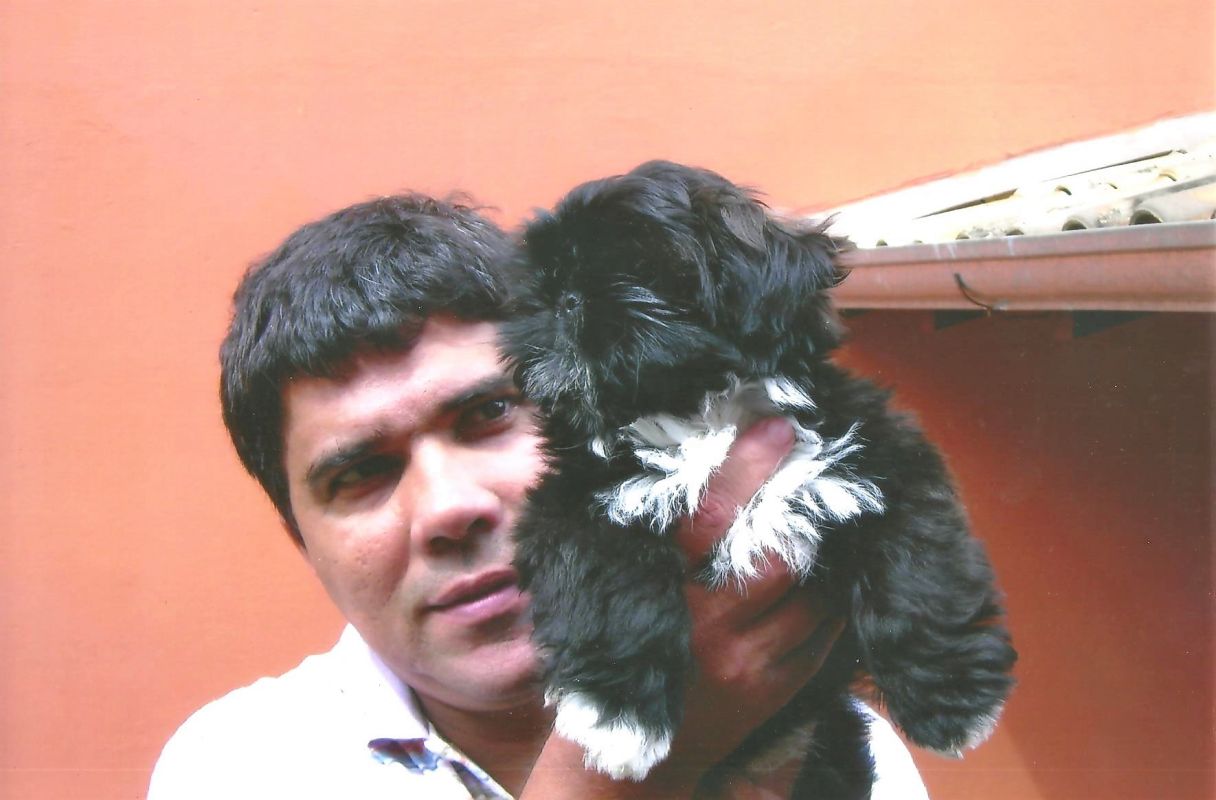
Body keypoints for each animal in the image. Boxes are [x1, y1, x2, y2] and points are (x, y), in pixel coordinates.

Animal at [500, 161, 1016, 797]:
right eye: (546, 278)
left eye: (639, 264)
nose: (563, 298)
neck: (703, 415)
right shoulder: (576, 504)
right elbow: (606, 584)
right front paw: (617, 717)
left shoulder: (887, 457)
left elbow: (920, 571)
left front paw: (955, 702)